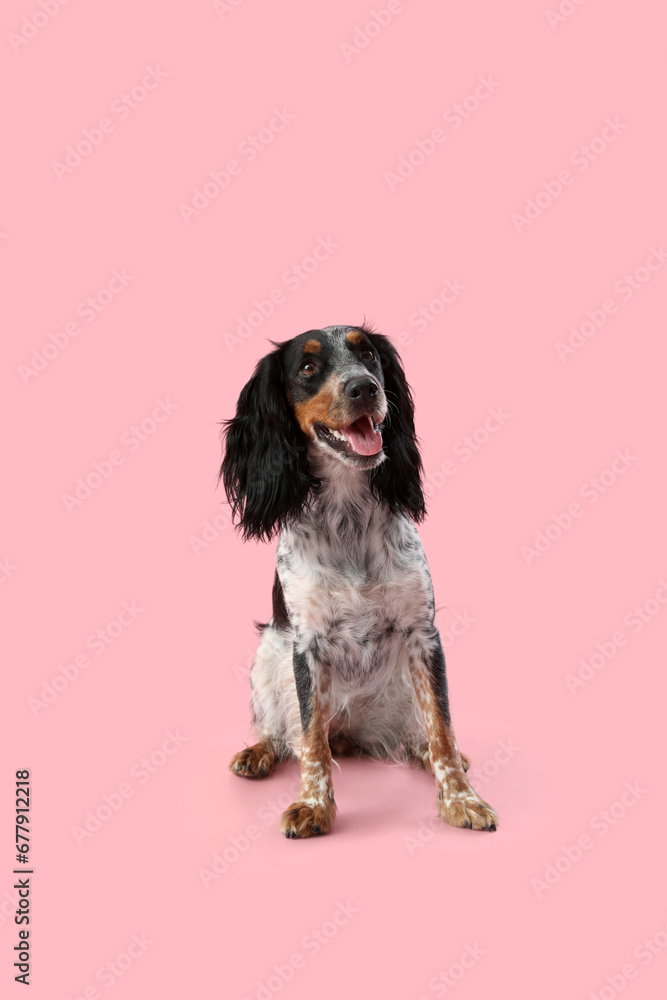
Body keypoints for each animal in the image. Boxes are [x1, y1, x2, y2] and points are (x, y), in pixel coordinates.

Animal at [222, 326, 498, 836]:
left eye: (368, 354)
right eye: (308, 367)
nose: (365, 387)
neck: (347, 514)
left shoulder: (423, 637)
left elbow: (442, 729)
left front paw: (461, 799)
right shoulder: (306, 646)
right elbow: (311, 740)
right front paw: (314, 805)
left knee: (418, 735)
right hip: (267, 653)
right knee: (285, 731)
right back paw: (258, 752)